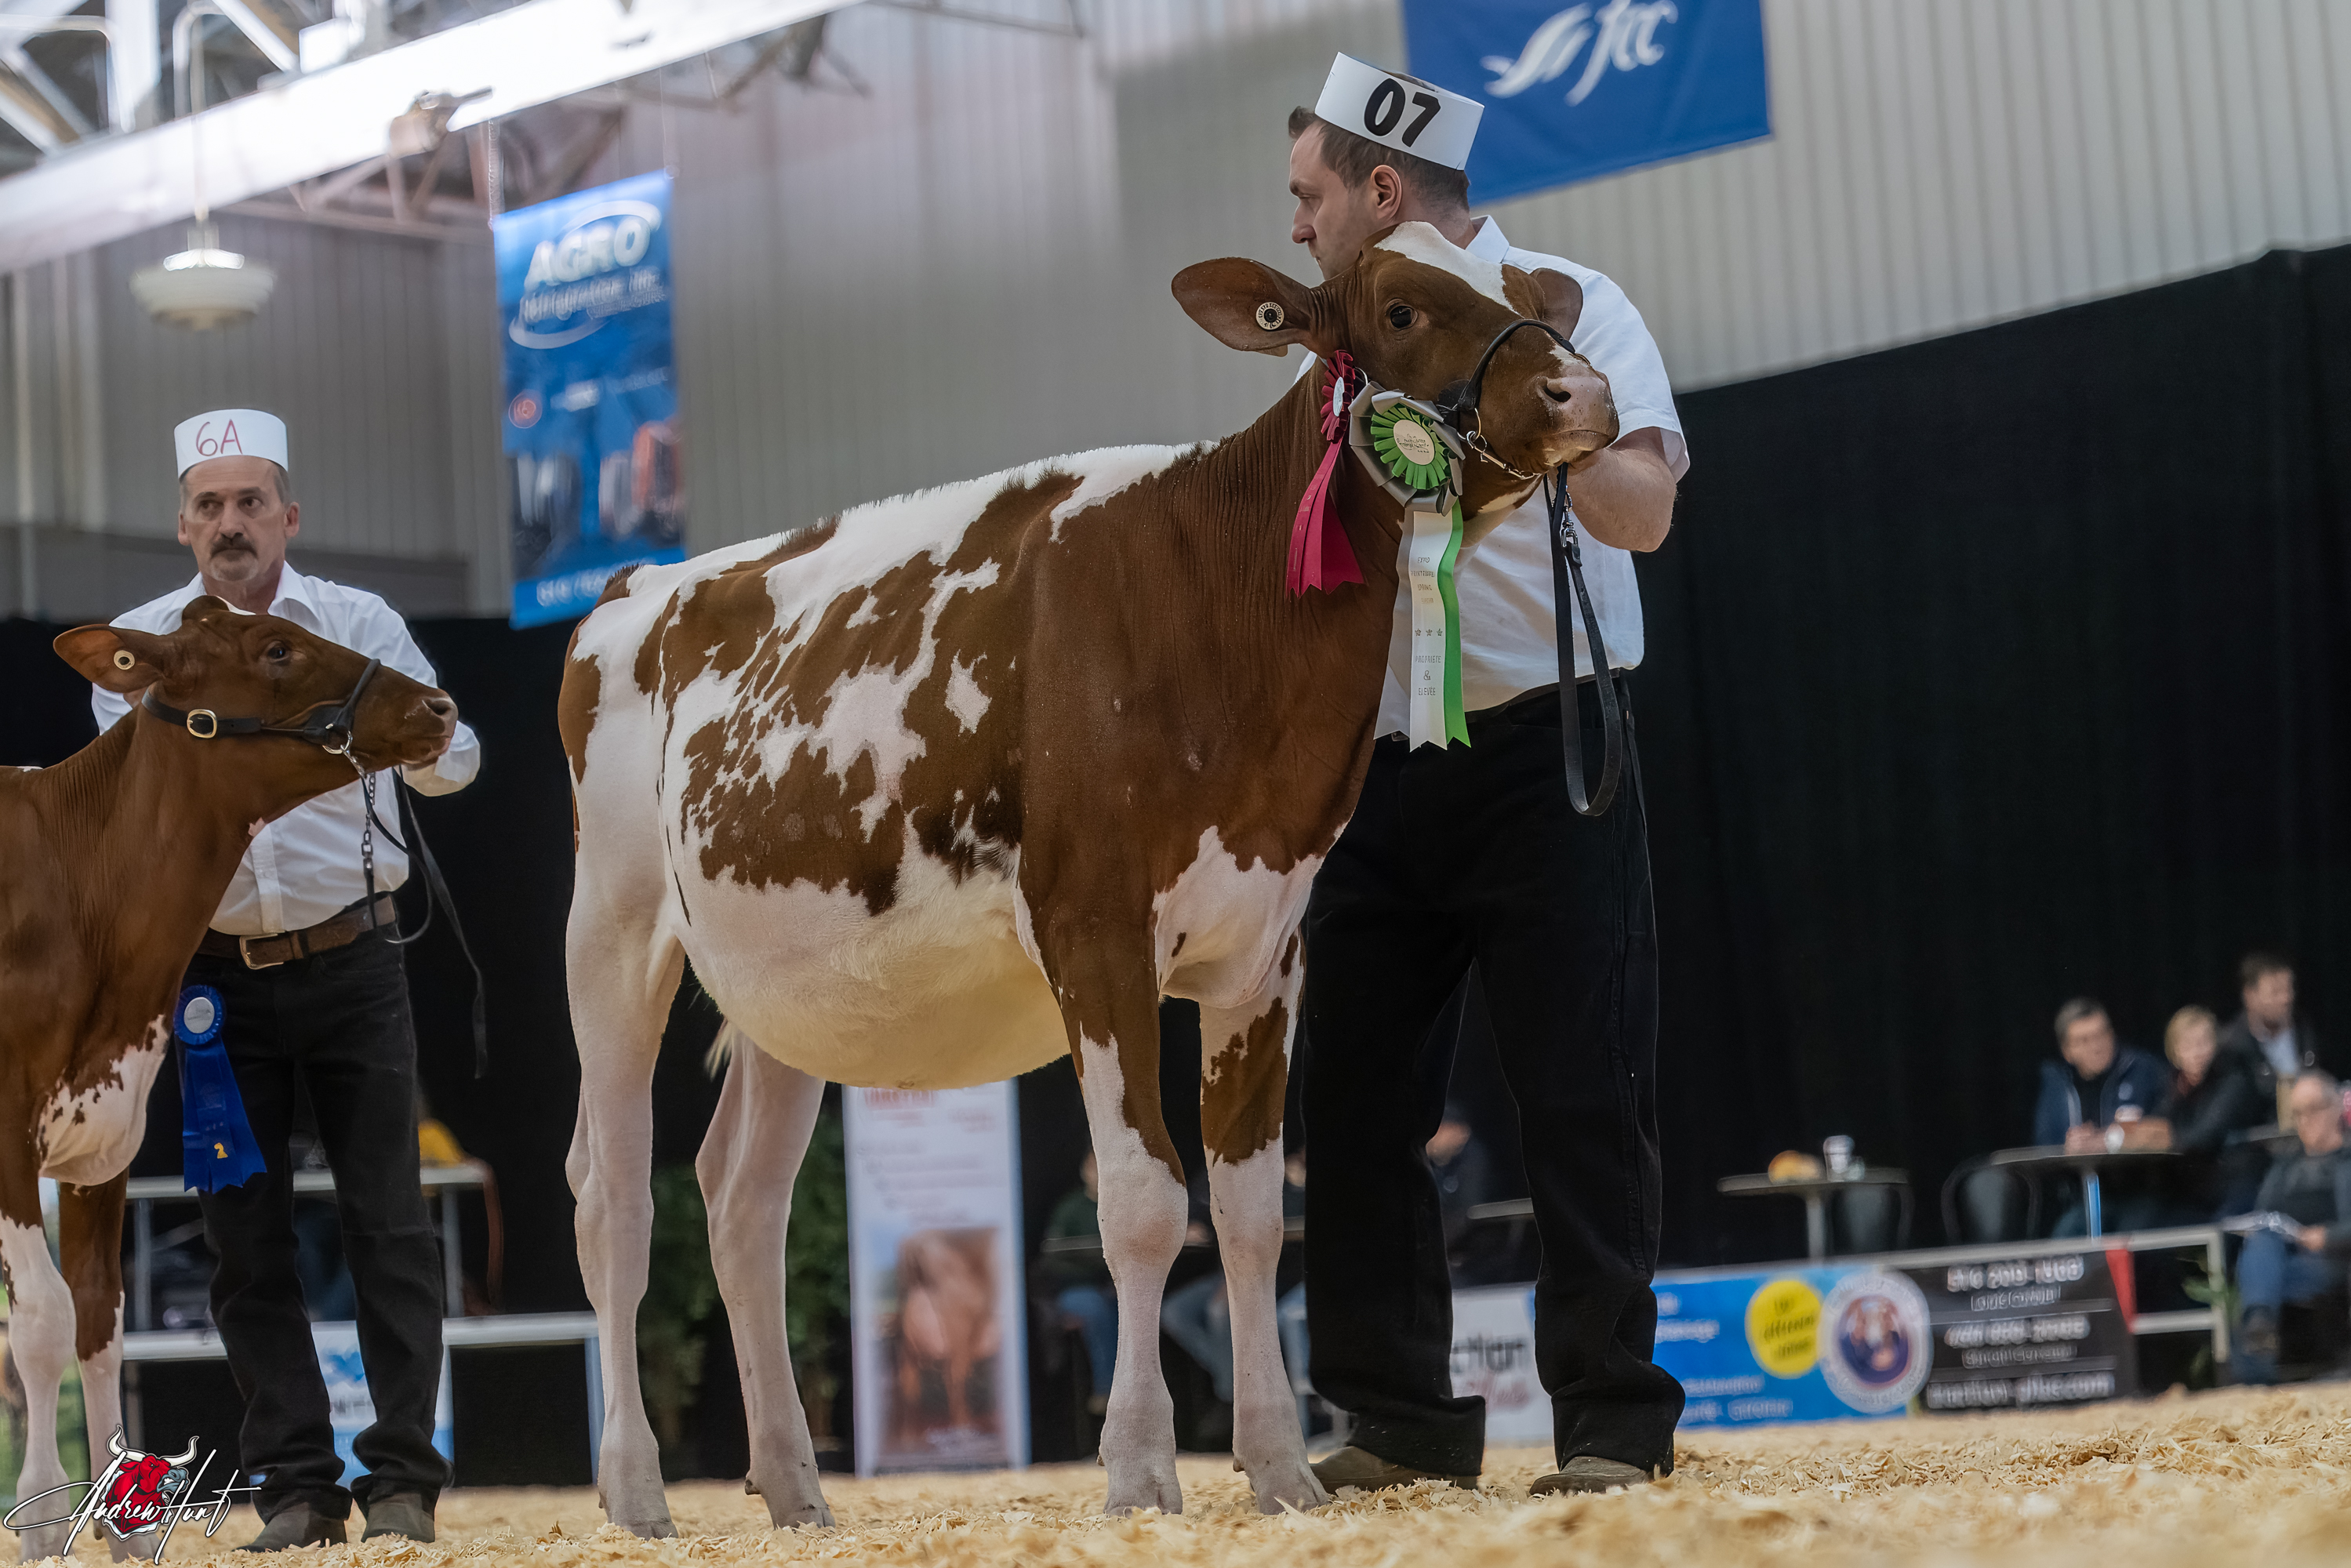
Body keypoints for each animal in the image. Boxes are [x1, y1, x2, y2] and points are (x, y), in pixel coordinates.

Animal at [559, 220, 1619, 1531]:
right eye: (1402, 310)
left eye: (1533, 295)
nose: (1583, 393)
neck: (1222, 609)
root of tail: (631, 588)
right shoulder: (1093, 928)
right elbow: (1145, 1201)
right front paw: (1140, 1470)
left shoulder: (1265, 952)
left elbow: (1251, 1217)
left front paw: (1277, 1469)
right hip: (612, 934)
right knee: (613, 1198)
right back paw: (635, 1490)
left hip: (785, 986)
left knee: (740, 1200)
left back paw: (796, 1489)